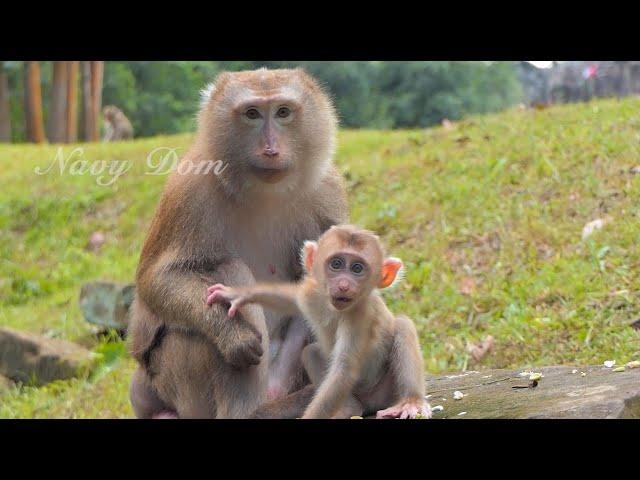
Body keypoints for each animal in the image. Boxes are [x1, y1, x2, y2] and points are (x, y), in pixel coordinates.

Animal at [127, 69, 348, 418]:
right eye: (252, 114)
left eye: (283, 112)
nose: (271, 149)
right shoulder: (189, 188)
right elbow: (157, 278)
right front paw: (231, 336)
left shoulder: (328, 191)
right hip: (172, 379)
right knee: (227, 269)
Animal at [208, 227, 432, 418]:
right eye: (336, 264)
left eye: (357, 268)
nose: (344, 285)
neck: (335, 309)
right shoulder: (313, 293)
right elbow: (289, 299)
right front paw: (236, 294)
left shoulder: (359, 316)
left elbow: (343, 371)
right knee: (311, 352)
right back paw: (349, 408)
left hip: (385, 391)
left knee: (402, 326)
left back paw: (411, 401)